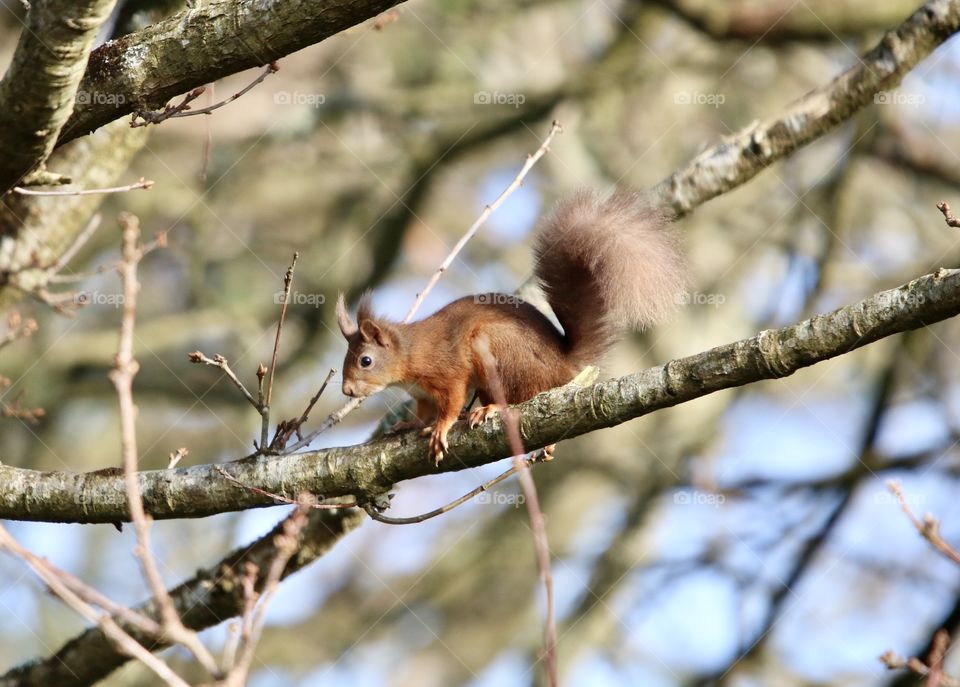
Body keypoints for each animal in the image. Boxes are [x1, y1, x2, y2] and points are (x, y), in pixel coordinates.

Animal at [336, 188, 688, 465]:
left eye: (365, 360)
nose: (347, 391)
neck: (409, 357)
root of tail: (562, 366)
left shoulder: (448, 372)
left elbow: (451, 401)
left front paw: (441, 427)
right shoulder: (420, 394)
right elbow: (422, 411)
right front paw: (407, 425)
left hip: (497, 349)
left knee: (518, 397)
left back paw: (488, 409)